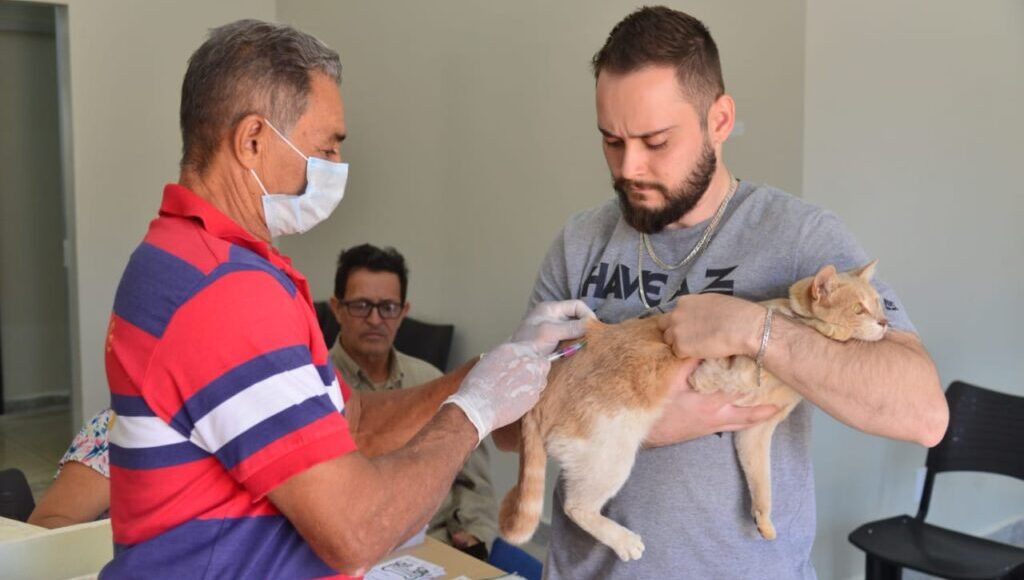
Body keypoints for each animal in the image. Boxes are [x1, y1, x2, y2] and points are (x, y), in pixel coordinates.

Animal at [499, 261, 884, 561]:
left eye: (880, 305)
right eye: (859, 309)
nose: (884, 323)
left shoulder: (755, 432)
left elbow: (762, 481)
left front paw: (764, 521)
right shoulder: (717, 365)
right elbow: (718, 371)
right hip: (611, 453)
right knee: (576, 507)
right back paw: (624, 541)